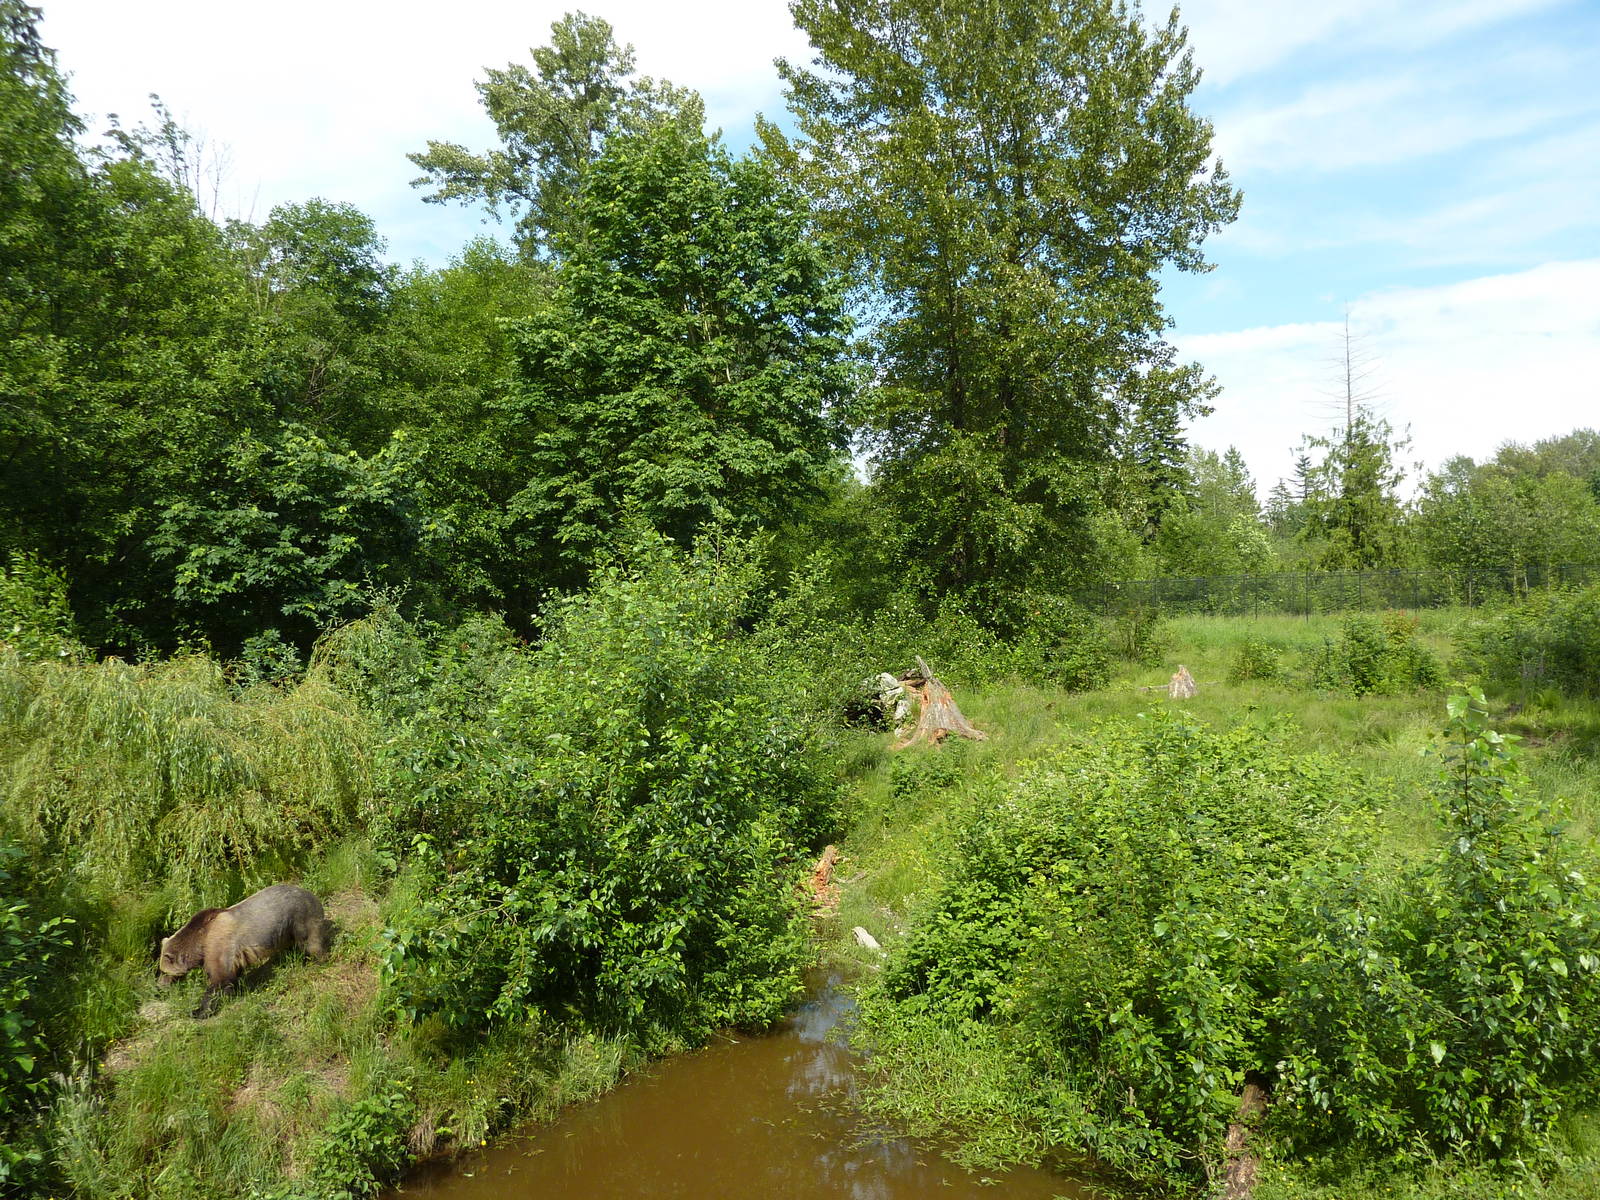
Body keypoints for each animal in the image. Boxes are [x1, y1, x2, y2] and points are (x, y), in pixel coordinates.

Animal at [158, 883, 330, 1018]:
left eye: (163, 971)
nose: (160, 986)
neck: (200, 941)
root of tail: (309, 892)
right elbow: (232, 974)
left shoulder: (218, 944)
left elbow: (220, 979)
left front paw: (199, 1011)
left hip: (300, 916)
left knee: (310, 941)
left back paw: (316, 961)